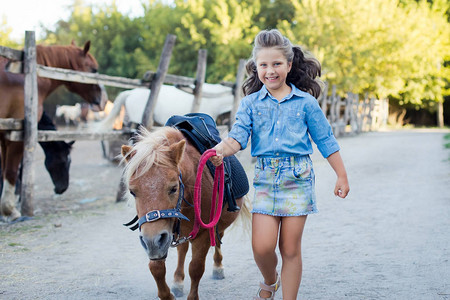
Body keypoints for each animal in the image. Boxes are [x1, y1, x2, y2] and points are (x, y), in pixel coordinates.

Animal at [121, 126, 251, 300]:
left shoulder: (203, 233)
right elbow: (156, 268)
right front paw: (169, 293)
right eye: (132, 191)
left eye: (173, 188)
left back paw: (218, 267)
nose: (153, 241)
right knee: (182, 250)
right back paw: (178, 282)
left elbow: (196, 268)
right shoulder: (157, 240)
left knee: (217, 239)